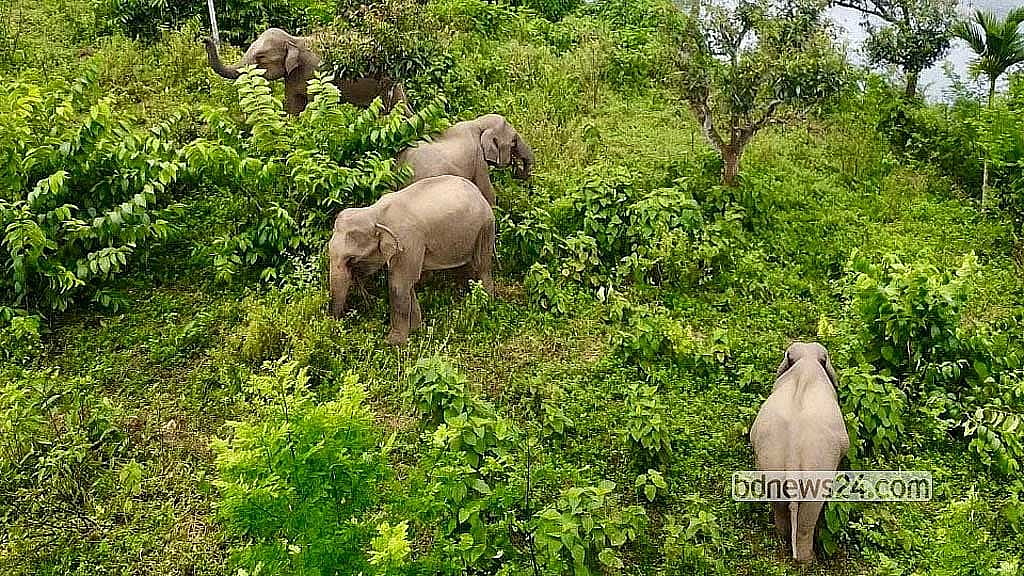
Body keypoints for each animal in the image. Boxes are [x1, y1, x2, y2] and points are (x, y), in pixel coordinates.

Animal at [203, 29, 411, 116]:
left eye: (260, 57)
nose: (204, 39)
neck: (294, 39)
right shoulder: (292, 77)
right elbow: (293, 104)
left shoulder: (317, 70)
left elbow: (314, 101)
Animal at [328, 175, 495, 345]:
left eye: (351, 259)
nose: (335, 327)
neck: (375, 213)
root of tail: (477, 192)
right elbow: (407, 284)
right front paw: (415, 330)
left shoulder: (407, 241)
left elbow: (398, 284)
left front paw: (393, 343)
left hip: (486, 226)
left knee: (482, 265)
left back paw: (486, 306)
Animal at [749, 342, 848, 564]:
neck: (807, 360)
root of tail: (793, 451)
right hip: (818, 469)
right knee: (808, 516)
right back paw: (807, 561)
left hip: (772, 465)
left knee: (778, 504)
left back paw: (784, 540)